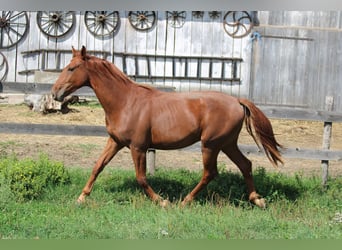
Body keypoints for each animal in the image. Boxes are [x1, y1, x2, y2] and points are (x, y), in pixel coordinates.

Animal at [50, 46, 284, 208]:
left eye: (71, 68)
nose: (54, 93)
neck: (126, 102)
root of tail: (237, 101)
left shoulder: (138, 147)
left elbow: (141, 178)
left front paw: (162, 201)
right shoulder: (115, 141)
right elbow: (98, 166)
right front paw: (81, 197)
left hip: (210, 145)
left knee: (210, 173)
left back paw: (185, 201)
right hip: (227, 144)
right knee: (245, 165)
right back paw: (257, 200)